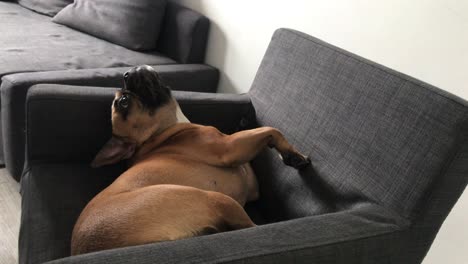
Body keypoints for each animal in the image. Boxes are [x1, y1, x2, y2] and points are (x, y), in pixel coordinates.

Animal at [70, 65, 310, 255]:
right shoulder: (229, 147)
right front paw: (293, 156)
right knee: (251, 227)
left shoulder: (249, 179)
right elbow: (271, 130)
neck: (161, 134)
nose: (126, 74)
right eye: (124, 101)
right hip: (215, 198)